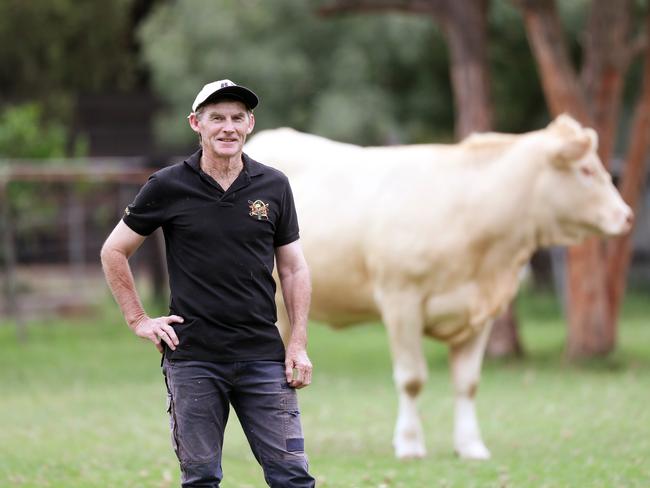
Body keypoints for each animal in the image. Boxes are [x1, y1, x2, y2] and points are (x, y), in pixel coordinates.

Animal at [244, 116, 632, 460]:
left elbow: (468, 383)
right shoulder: (401, 302)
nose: (626, 216)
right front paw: (409, 444)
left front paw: (471, 446)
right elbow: (412, 379)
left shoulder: (482, 314)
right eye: (586, 170)